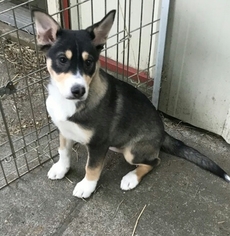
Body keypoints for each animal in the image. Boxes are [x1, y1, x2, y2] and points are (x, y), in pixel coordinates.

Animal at [31, 9, 228, 197]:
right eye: (62, 59)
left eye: (89, 62)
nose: (78, 90)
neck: (68, 102)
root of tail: (163, 133)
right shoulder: (64, 130)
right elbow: (63, 151)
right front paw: (61, 168)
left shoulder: (98, 143)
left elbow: (92, 167)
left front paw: (86, 187)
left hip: (132, 152)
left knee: (155, 161)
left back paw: (131, 178)